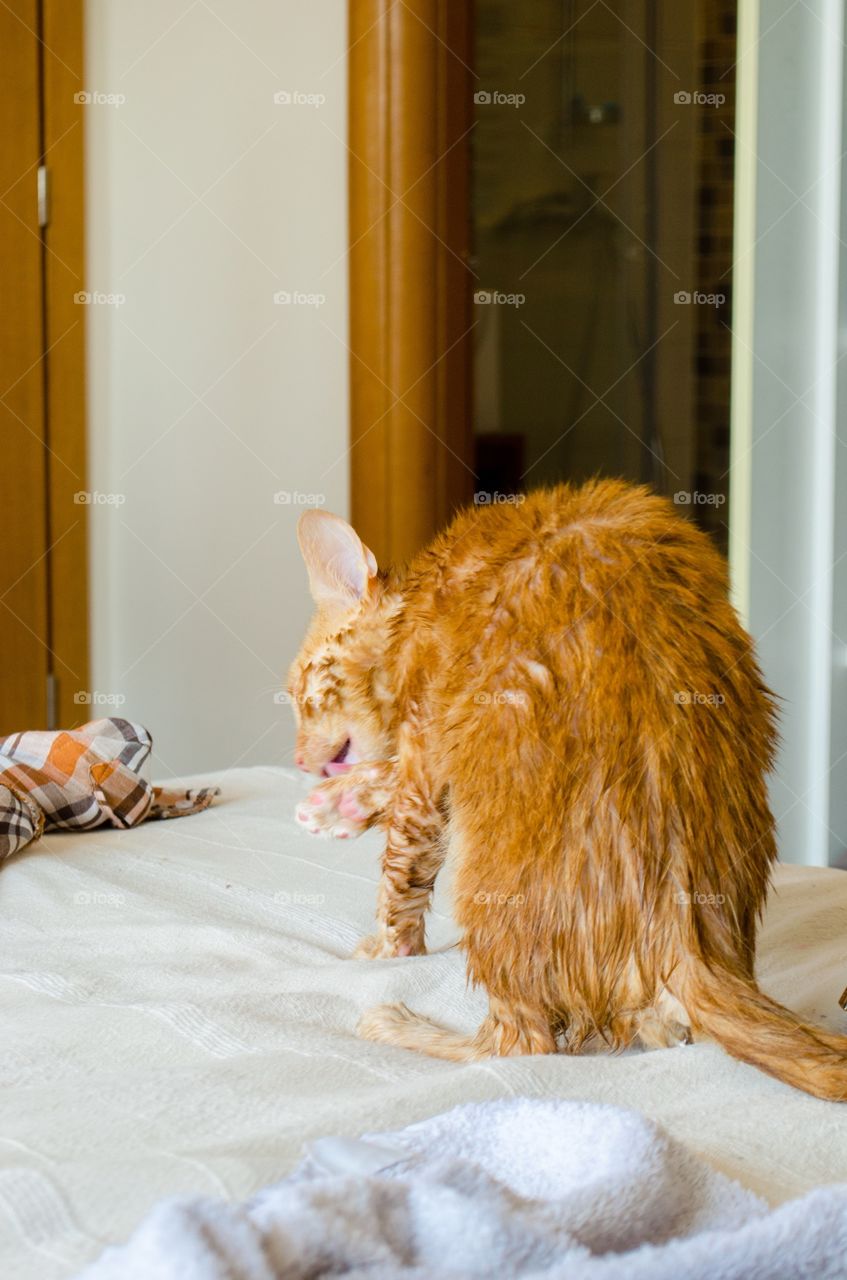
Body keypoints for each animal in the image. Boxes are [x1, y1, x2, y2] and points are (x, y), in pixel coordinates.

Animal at [286, 481, 847, 1100]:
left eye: (300, 693)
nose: (297, 758)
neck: (416, 603)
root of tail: (688, 940)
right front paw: (341, 805)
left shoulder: (424, 748)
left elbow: (401, 875)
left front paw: (386, 947)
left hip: (489, 897)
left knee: (519, 1045)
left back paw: (399, 1026)